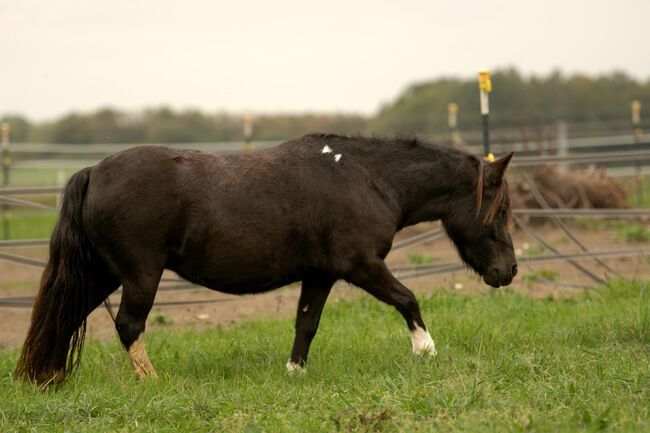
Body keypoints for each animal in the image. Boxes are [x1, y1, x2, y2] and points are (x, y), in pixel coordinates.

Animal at [12, 133, 512, 384]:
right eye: (502, 208)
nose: (508, 271)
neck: (366, 176)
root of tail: (94, 171)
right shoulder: (362, 265)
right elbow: (407, 298)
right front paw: (426, 351)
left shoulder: (322, 275)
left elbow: (306, 324)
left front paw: (294, 373)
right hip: (140, 274)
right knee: (128, 325)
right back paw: (151, 381)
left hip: (101, 274)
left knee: (64, 317)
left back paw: (47, 376)